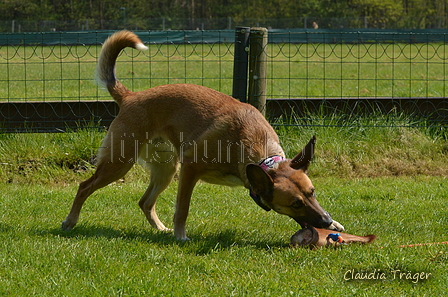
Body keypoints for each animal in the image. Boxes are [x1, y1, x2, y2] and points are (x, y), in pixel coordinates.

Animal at [61, 30, 344, 239]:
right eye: (295, 204)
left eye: (312, 193)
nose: (326, 219)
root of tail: (130, 96)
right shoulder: (190, 170)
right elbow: (182, 209)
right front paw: (181, 236)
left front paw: (335, 226)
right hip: (120, 162)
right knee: (85, 186)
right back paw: (70, 221)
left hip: (166, 168)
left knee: (145, 202)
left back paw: (160, 229)